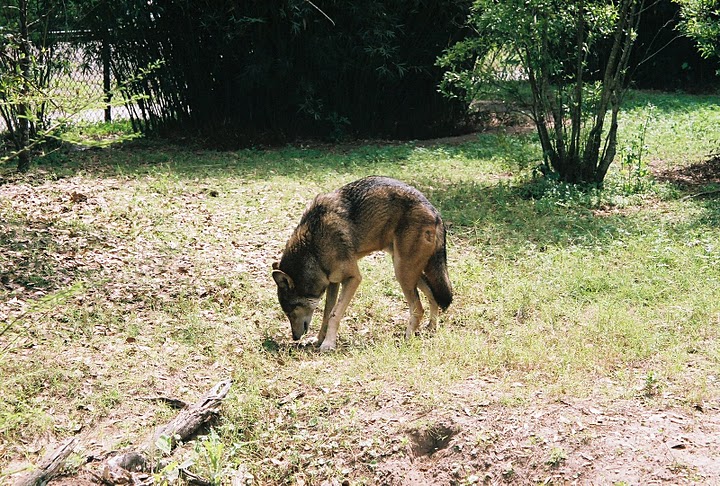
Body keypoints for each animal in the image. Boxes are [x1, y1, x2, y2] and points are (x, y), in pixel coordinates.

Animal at [272, 176, 452, 351]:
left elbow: (334, 314)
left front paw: (328, 344)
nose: (295, 337)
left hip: (403, 273)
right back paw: (431, 328)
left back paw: (407, 339)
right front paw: (318, 340)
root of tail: (435, 212)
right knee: (433, 296)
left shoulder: (353, 278)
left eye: (290, 311)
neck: (313, 247)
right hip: (408, 271)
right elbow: (326, 314)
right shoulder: (333, 283)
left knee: (418, 308)